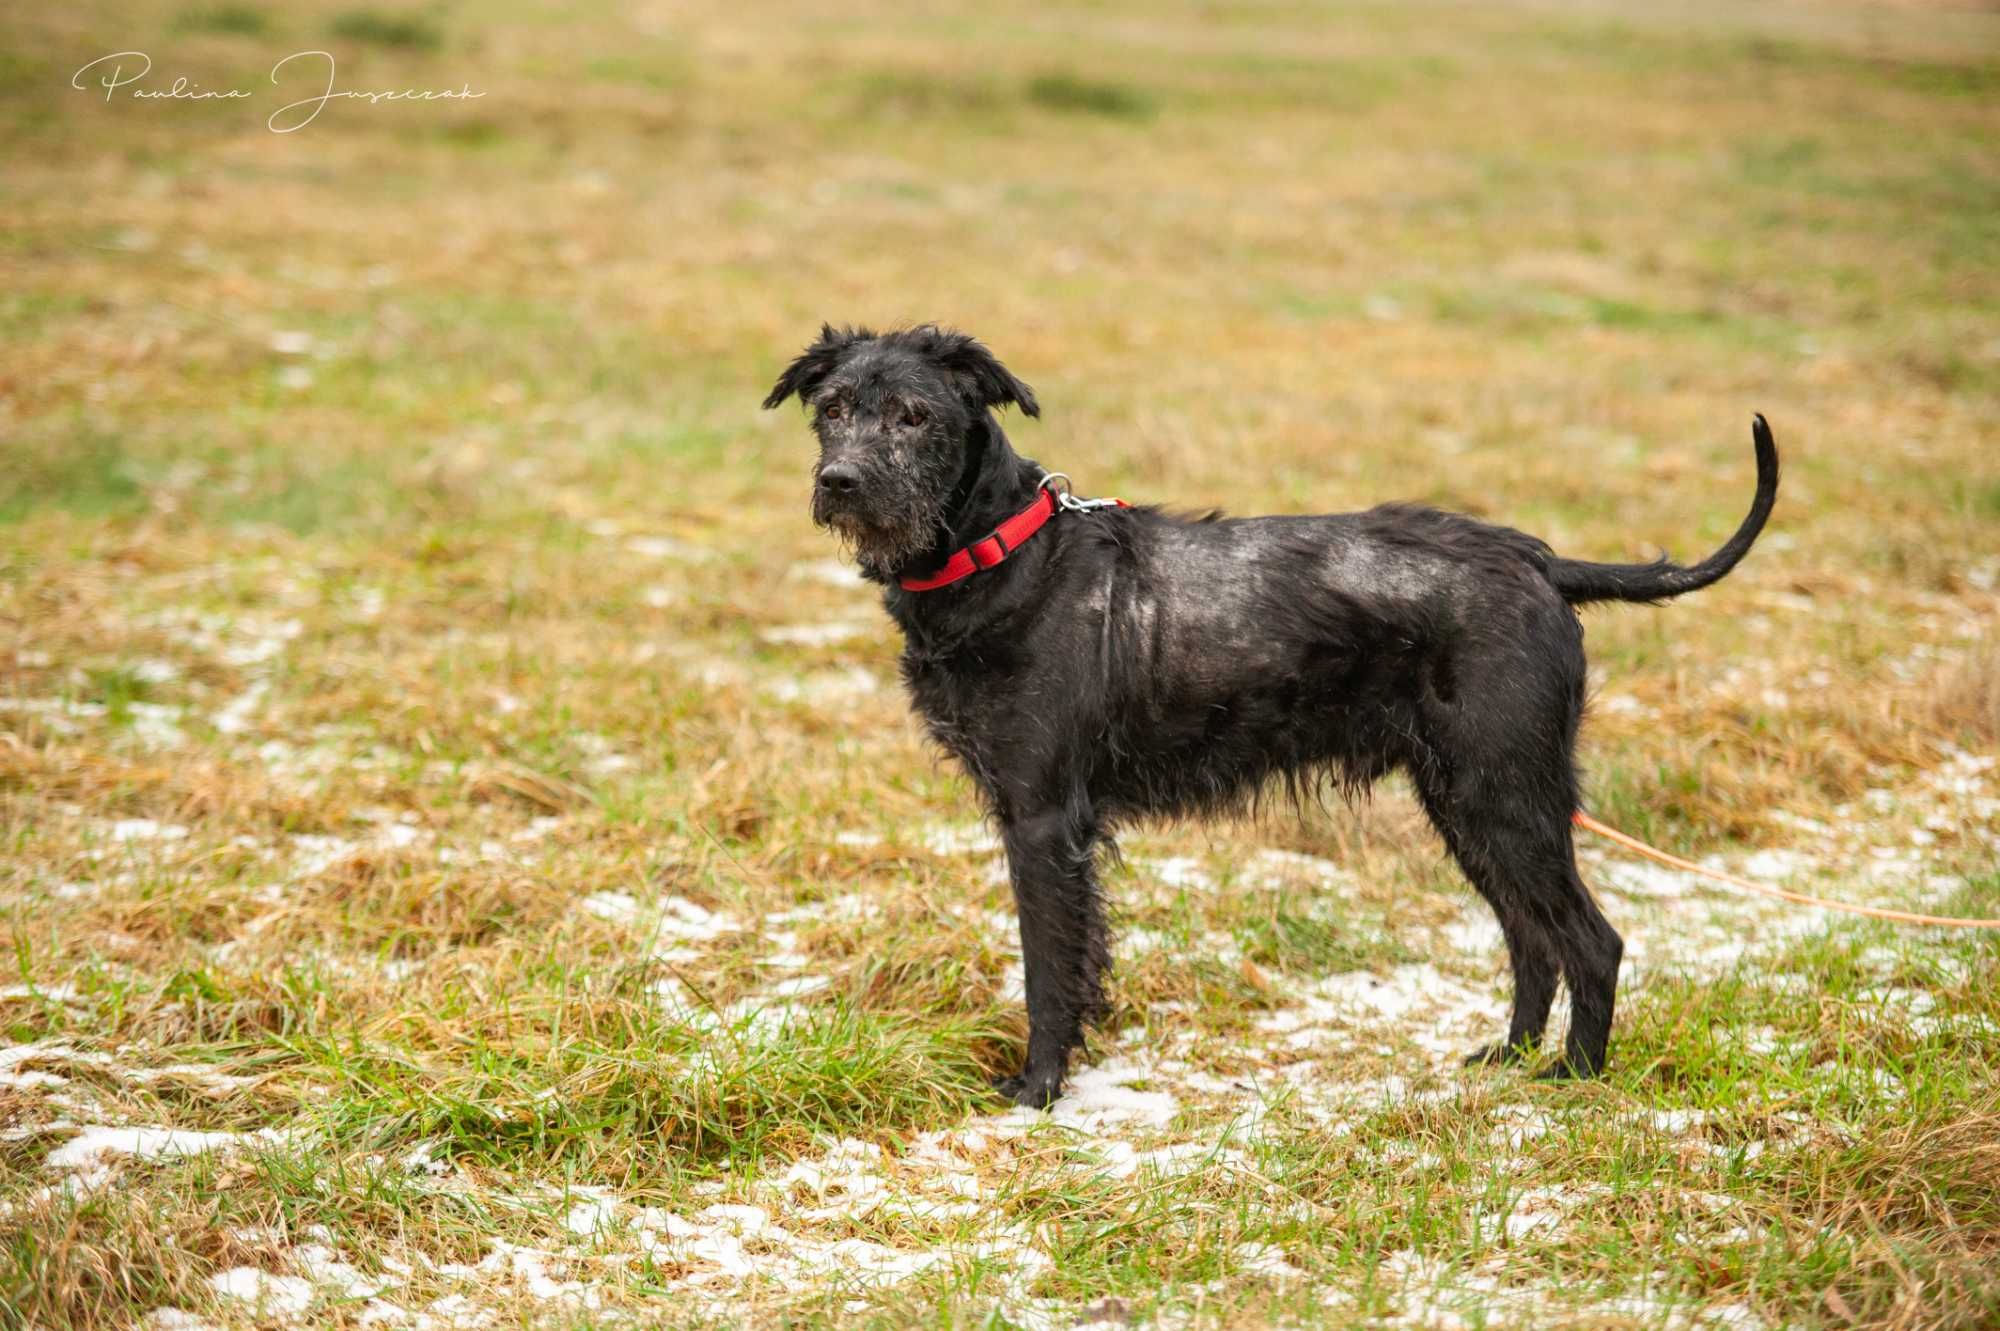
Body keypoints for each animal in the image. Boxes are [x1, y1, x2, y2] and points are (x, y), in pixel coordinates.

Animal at [760, 319, 1784, 1095]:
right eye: (833, 410)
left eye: (915, 415)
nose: (839, 482)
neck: (1005, 554)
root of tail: (1536, 560)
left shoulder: (1044, 820)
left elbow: (1050, 968)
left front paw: (1038, 1090)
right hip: (1468, 803)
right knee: (1534, 942)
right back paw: (1509, 1058)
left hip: (1507, 794)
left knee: (1592, 941)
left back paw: (1574, 1080)